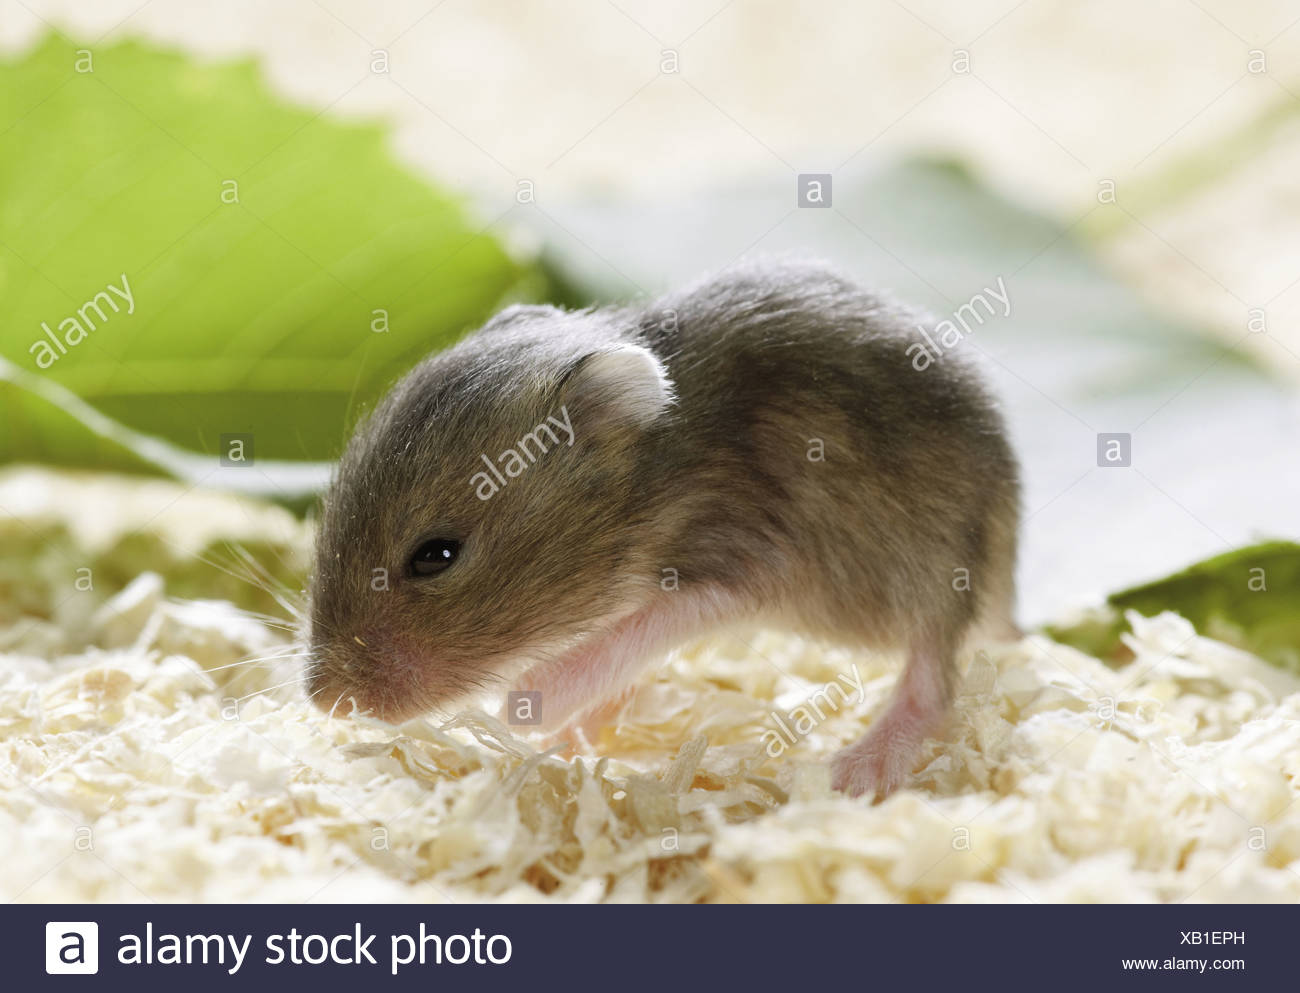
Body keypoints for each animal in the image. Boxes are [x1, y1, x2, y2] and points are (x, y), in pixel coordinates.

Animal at [306, 258, 1019, 799]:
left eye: (437, 554)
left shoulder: (748, 558)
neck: (662, 469)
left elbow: (650, 618)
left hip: (934, 575)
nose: (322, 704)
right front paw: (553, 728)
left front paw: (527, 703)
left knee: (932, 682)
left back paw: (861, 770)